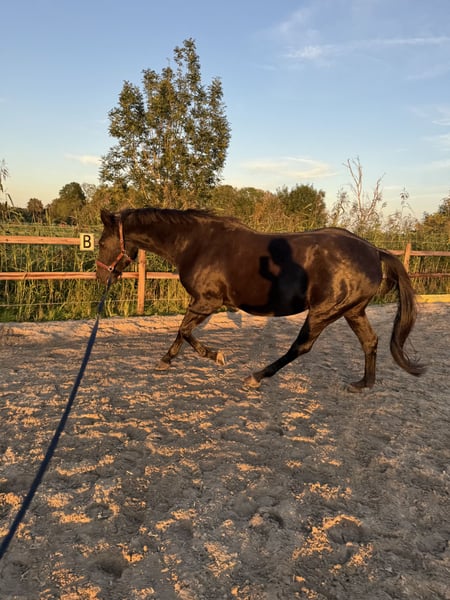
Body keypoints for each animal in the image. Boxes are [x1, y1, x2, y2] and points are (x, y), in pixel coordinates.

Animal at [96, 207, 424, 389]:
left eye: (100, 242)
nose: (101, 277)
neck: (196, 243)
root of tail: (373, 251)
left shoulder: (208, 301)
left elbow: (185, 330)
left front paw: (215, 356)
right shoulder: (202, 303)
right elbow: (181, 331)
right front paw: (165, 361)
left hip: (324, 311)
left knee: (300, 347)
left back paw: (255, 377)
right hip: (352, 310)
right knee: (370, 341)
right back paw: (363, 384)